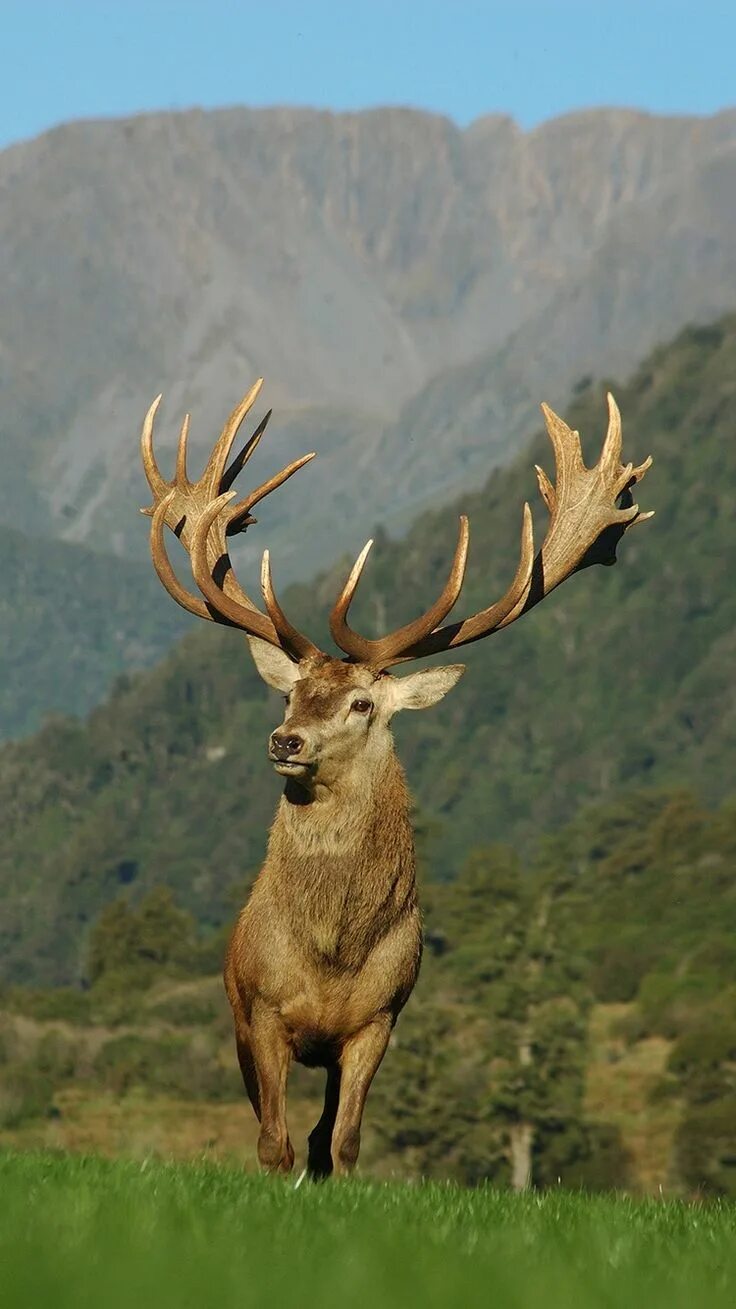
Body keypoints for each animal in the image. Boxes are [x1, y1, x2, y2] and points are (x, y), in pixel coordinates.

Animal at [140, 376, 649, 1178]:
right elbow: (274, 1142)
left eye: (362, 702)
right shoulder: (260, 1010)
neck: (332, 956)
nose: (285, 739)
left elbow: (342, 1143)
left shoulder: (380, 1017)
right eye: (290, 693)